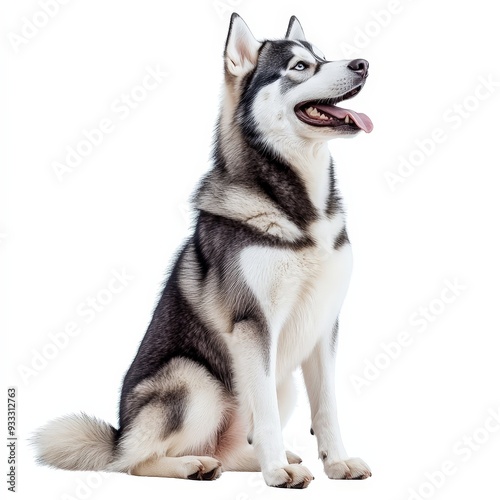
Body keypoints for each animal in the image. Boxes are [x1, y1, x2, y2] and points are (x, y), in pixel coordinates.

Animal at [35, 14, 372, 488]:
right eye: (300, 67)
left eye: (323, 57)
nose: (362, 64)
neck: (302, 208)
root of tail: (119, 434)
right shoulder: (253, 324)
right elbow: (266, 416)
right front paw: (276, 474)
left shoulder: (324, 326)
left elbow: (327, 408)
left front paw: (337, 462)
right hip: (197, 380)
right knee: (133, 462)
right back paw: (196, 465)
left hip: (279, 382)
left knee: (232, 450)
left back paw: (264, 459)